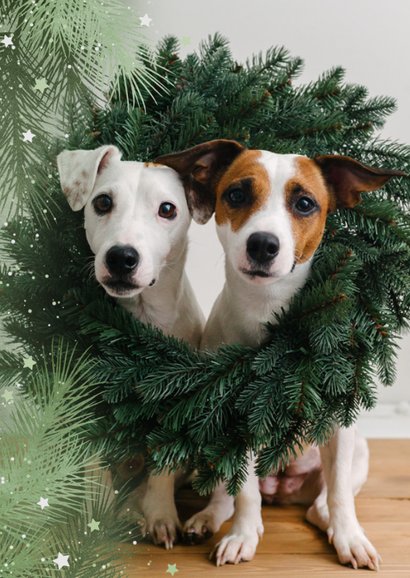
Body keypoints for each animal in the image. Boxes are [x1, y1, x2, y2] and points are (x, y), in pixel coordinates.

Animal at [157, 138, 404, 568]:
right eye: (236, 194)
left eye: (304, 203)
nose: (263, 243)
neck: (267, 310)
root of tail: (281, 485)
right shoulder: (233, 421)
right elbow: (244, 493)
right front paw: (241, 535)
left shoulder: (338, 425)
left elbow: (340, 496)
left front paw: (351, 538)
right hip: (214, 446)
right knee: (229, 494)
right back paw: (211, 519)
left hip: (357, 454)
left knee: (322, 503)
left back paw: (329, 522)